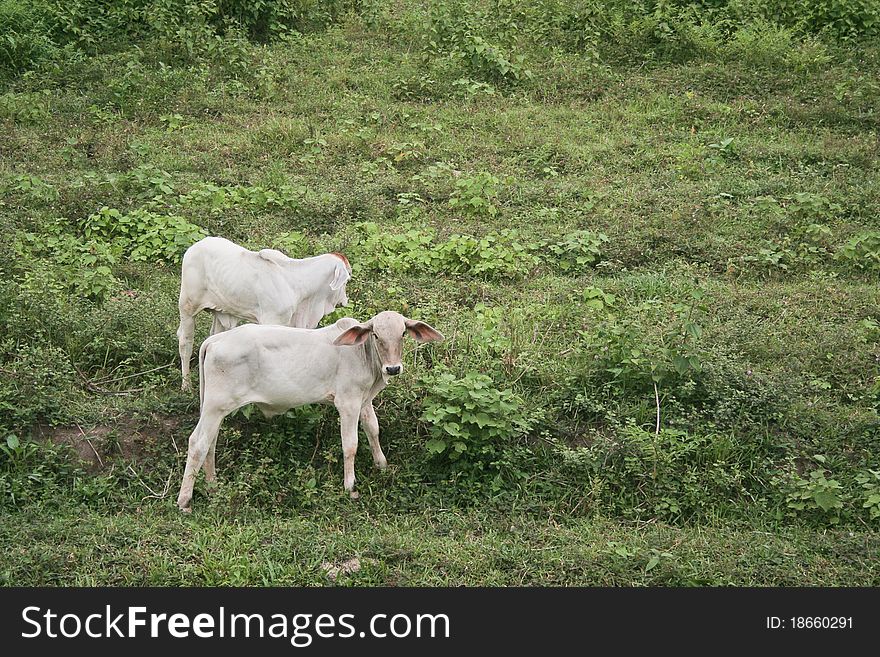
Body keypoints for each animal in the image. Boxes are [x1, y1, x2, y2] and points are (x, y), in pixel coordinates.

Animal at [175, 236, 350, 390]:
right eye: (347, 279)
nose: (344, 300)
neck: (298, 286)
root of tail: (194, 247)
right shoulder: (273, 321)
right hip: (187, 306)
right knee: (185, 342)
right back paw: (186, 385)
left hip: (220, 311)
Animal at [175, 310, 444, 510]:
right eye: (376, 335)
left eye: (403, 334)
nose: (393, 368)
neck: (363, 355)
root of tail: (215, 340)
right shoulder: (347, 402)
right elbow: (351, 444)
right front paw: (350, 485)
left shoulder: (364, 400)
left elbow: (373, 429)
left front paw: (382, 465)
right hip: (214, 406)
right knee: (198, 443)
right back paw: (185, 500)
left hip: (215, 409)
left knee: (211, 442)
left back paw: (212, 485)